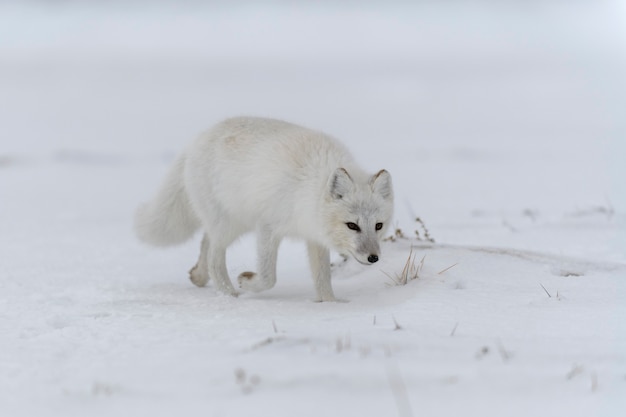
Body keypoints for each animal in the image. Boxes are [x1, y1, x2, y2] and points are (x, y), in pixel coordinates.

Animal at [134, 115, 392, 300]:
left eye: (378, 226)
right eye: (352, 226)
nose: (373, 258)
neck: (308, 189)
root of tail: (198, 138)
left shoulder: (314, 236)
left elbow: (322, 279)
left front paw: (329, 305)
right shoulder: (268, 227)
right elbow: (269, 277)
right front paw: (247, 281)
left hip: (233, 223)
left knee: (206, 243)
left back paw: (199, 276)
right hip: (229, 225)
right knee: (215, 258)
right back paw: (230, 295)